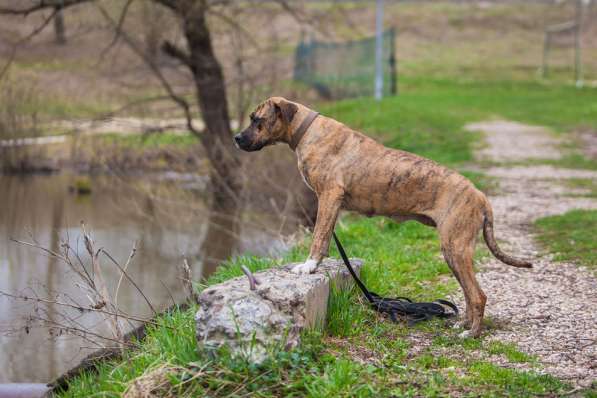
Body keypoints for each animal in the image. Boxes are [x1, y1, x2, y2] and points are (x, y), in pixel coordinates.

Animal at [233, 97, 532, 338]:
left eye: (257, 119)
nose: (236, 138)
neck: (306, 132)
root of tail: (480, 195)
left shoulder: (329, 198)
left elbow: (318, 236)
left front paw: (308, 266)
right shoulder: (330, 203)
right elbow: (326, 236)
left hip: (456, 247)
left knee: (478, 296)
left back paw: (471, 334)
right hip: (454, 253)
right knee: (470, 296)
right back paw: (464, 325)